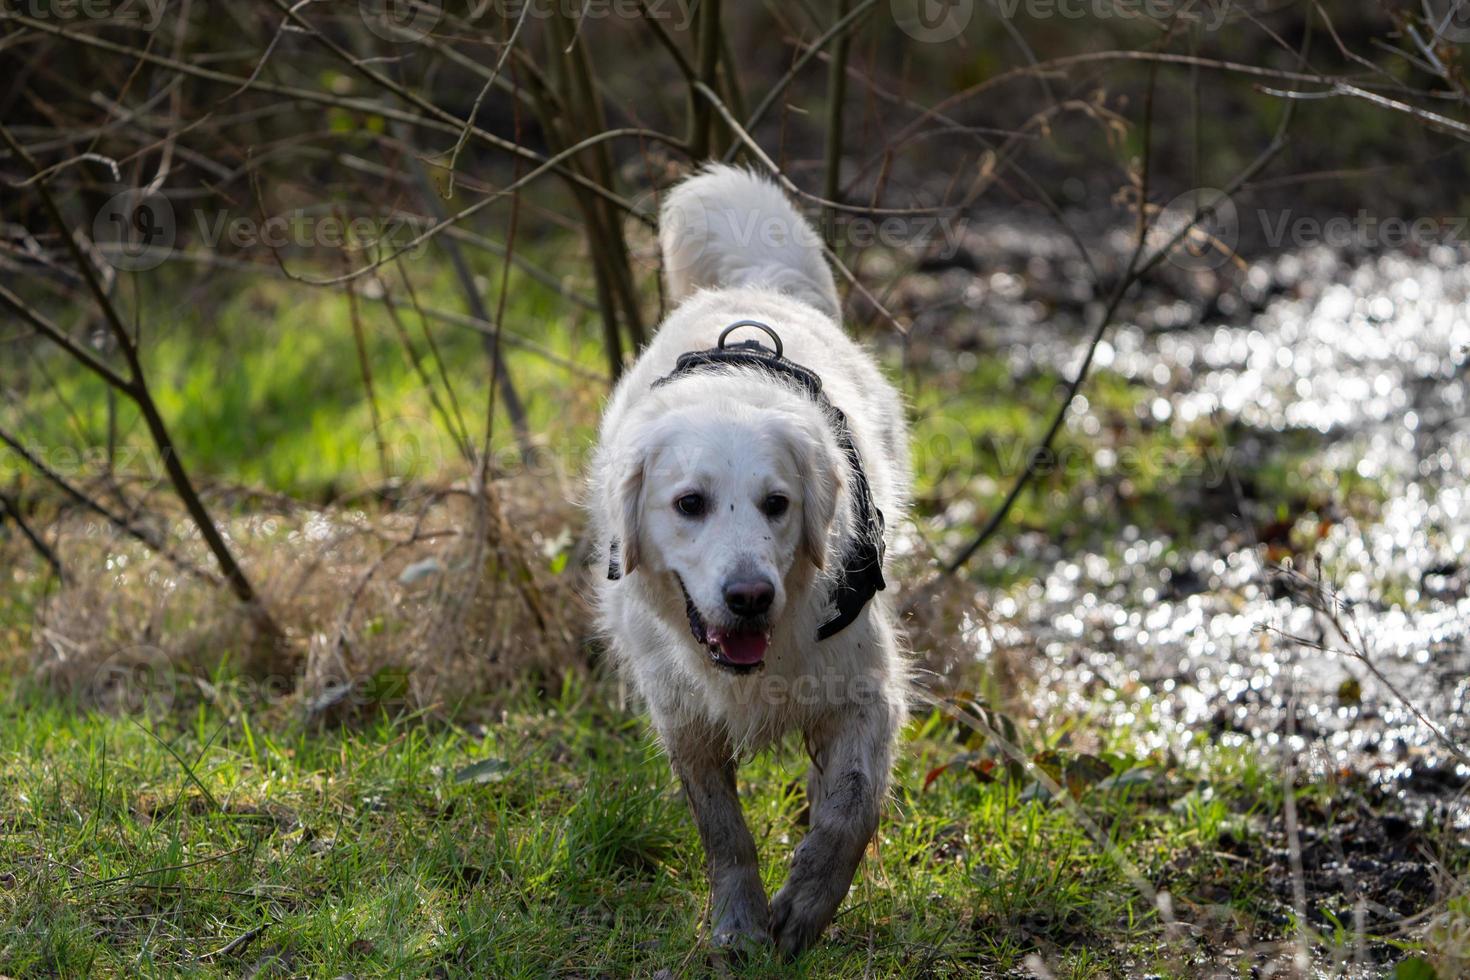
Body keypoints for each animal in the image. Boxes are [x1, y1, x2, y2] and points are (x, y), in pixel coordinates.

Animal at [585, 166, 905, 957]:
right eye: (690, 503)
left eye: (777, 503)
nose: (751, 596)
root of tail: (752, 291)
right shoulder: (683, 715)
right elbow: (723, 831)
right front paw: (740, 922)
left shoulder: (866, 690)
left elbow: (849, 810)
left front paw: (803, 909)